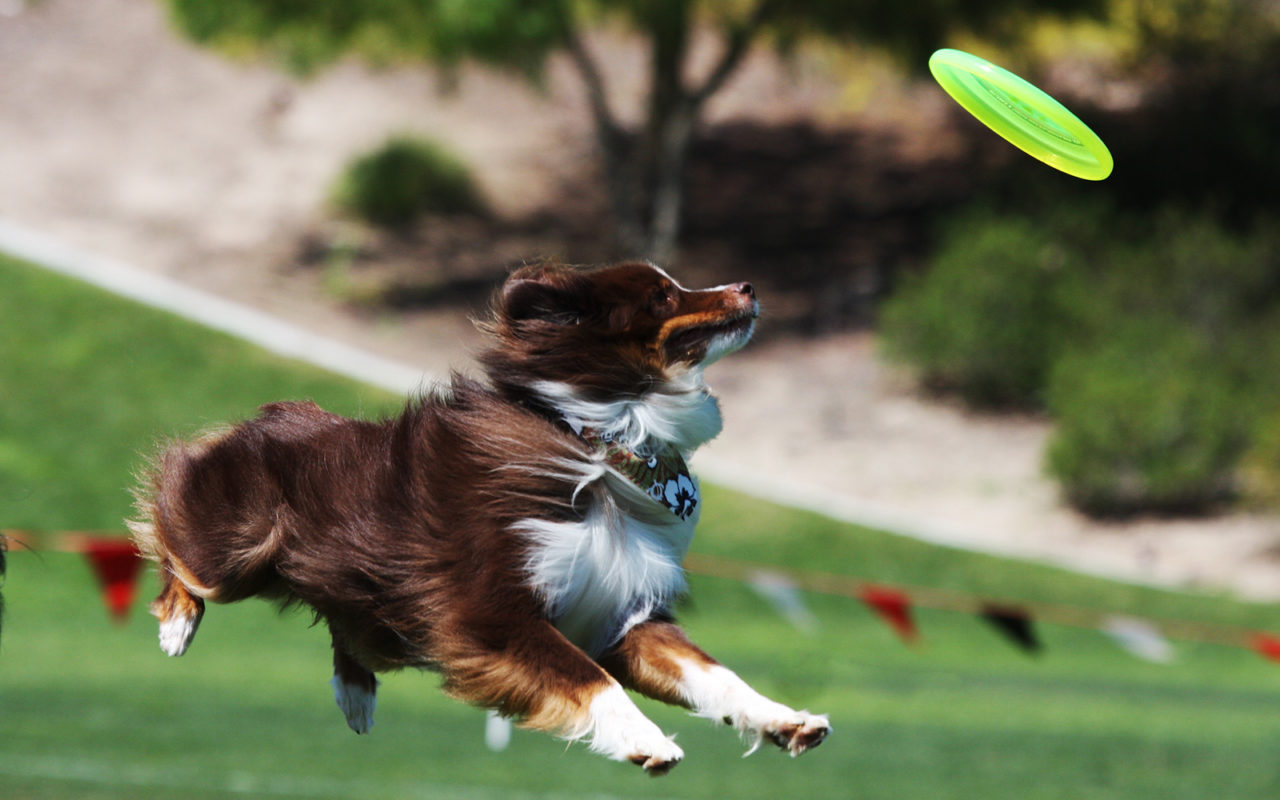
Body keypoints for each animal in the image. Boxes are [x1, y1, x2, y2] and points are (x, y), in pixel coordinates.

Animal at [127, 262, 829, 773]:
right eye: (663, 295)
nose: (748, 285)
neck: (600, 440)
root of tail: (272, 413)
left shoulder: (621, 614)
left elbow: (714, 674)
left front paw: (786, 719)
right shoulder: (492, 613)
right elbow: (593, 678)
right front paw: (647, 741)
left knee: (345, 625)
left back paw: (355, 694)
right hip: (236, 547)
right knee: (170, 529)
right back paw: (178, 623)